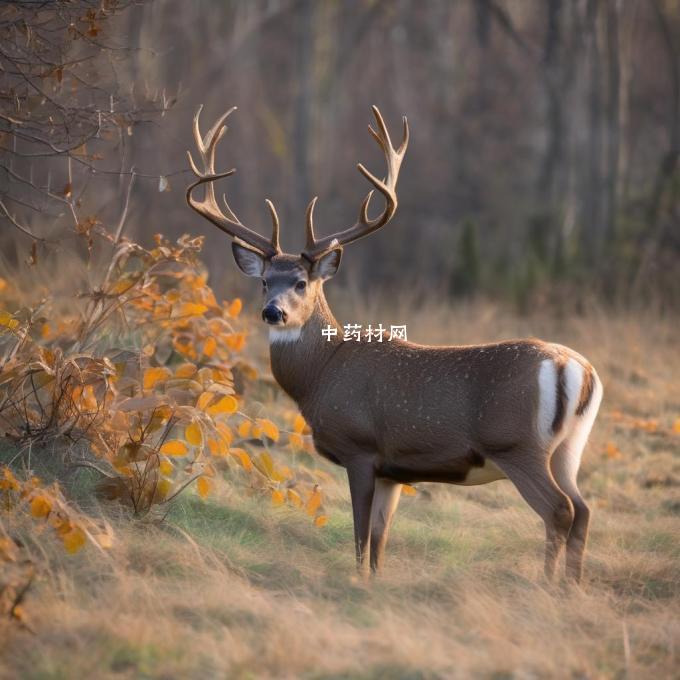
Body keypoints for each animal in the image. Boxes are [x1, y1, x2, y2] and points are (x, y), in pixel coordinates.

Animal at [185, 103, 600, 580]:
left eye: (302, 282)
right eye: (265, 281)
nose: (274, 312)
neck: (321, 375)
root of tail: (577, 370)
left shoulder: (360, 446)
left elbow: (361, 535)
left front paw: (355, 579)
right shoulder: (393, 468)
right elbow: (380, 541)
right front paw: (374, 582)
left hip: (517, 443)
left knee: (560, 510)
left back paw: (547, 585)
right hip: (568, 448)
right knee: (583, 509)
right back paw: (572, 587)